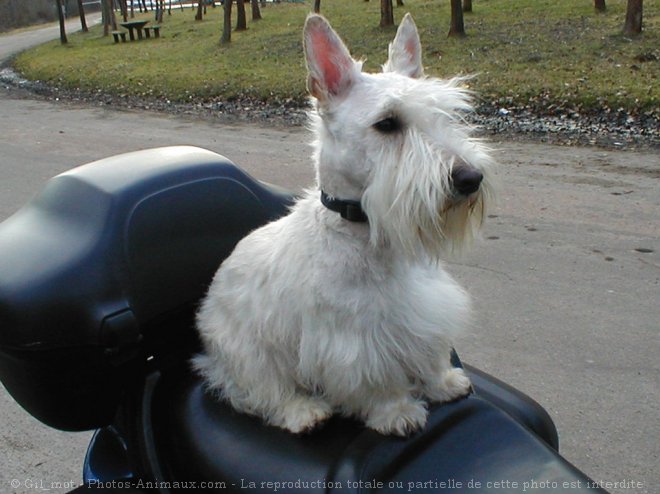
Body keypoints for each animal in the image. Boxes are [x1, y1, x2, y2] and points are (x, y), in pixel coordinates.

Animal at [195, 12, 496, 436]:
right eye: (387, 124)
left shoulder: (425, 310)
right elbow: (376, 378)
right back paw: (303, 412)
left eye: (443, 115)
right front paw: (396, 412)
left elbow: (429, 350)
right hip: (245, 350)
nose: (470, 178)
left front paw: (443, 382)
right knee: (256, 390)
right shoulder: (352, 341)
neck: (366, 231)